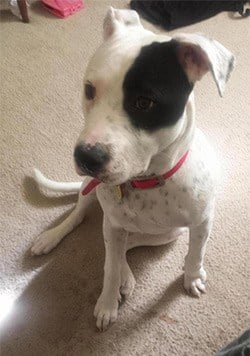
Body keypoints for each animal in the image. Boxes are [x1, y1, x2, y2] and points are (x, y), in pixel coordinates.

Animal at [30, 7, 235, 330]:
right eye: (89, 90)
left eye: (144, 102)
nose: (86, 157)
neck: (146, 181)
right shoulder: (112, 224)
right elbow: (109, 268)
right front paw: (107, 303)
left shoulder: (201, 223)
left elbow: (195, 254)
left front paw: (191, 277)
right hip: (91, 196)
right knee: (84, 222)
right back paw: (53, 237)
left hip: (167, 234)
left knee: (128, 244)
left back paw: (127, 273)